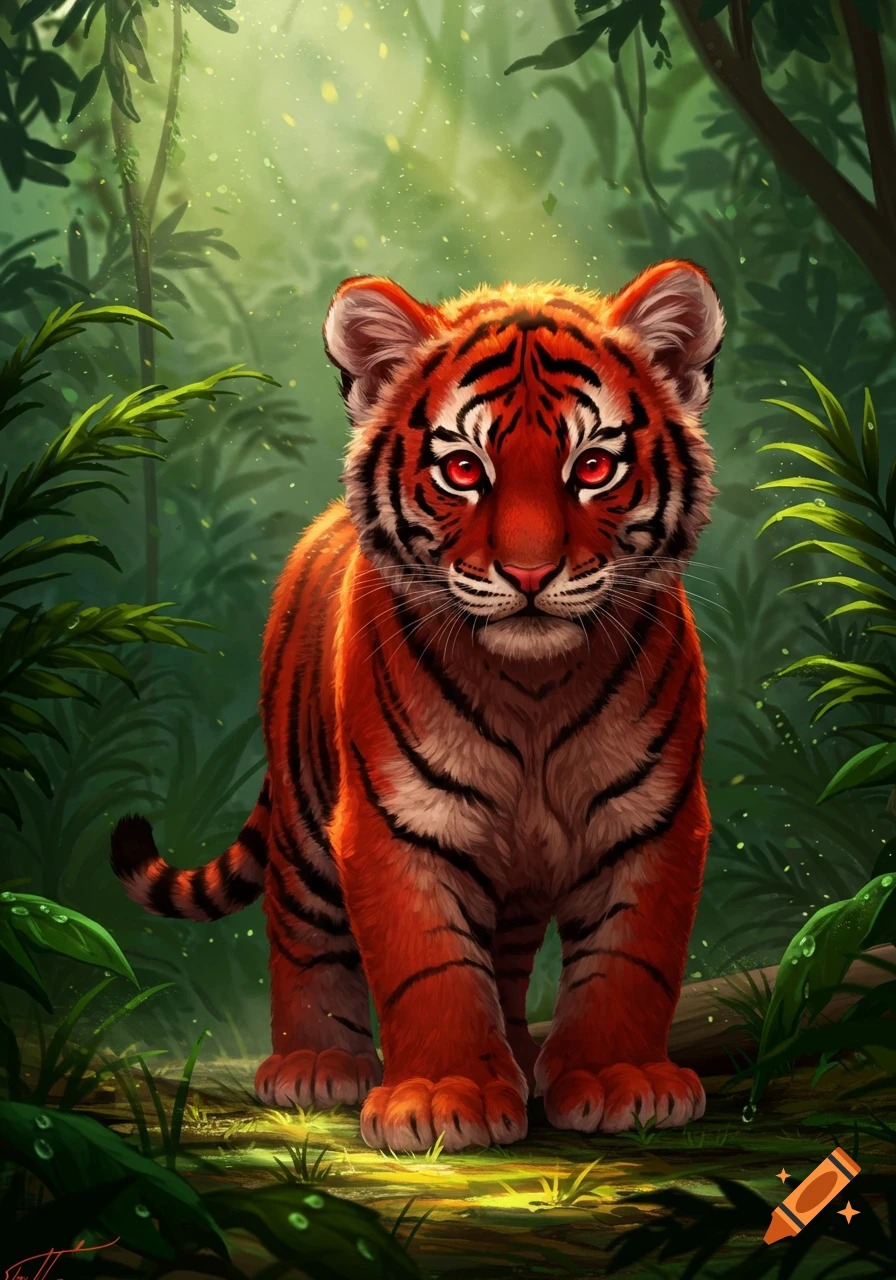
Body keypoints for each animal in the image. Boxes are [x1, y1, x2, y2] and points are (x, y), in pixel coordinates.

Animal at [111, 259, 724, 1153]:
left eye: (593, 467)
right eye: (463, 469)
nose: (530, 574)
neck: (533, 691)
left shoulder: (654, 816)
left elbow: (630, 959)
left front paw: (621, 1080)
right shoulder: (396, 818)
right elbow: (426, 963)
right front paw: (443, 1097)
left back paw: (522, 1052)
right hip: (303, 823)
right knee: (301, 931)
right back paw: (315, 1065)